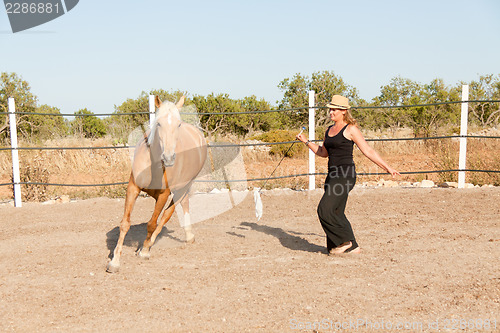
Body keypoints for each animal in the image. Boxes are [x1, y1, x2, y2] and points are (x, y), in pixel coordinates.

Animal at [105, 94, 207, 272]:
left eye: (178, 124)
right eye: (158, 123)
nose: (169, 158)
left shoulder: (163, 195)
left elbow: (153, 223)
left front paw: (145, 250)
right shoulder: (133, 188)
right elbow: (125, 224)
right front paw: (115, 261)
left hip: (183, 187)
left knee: (168, 213)